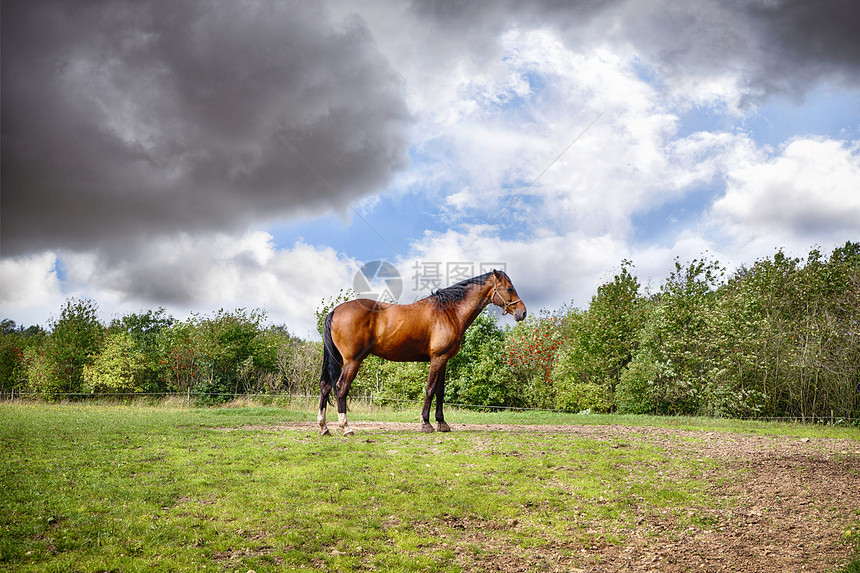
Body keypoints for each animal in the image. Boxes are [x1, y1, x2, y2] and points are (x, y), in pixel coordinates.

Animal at [320, 268, 528, 434]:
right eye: (509, 289)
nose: (522, 312)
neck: (448, 312)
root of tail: (335, 311)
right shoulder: (437, 359)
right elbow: (430, 389)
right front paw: (426, 423)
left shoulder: (444, 360)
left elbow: (440, 391)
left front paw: (442, 424)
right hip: (353, 360)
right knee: (341, 387)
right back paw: (346, 427)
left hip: (339, 359)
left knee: (325, 386)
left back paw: (324, 427)